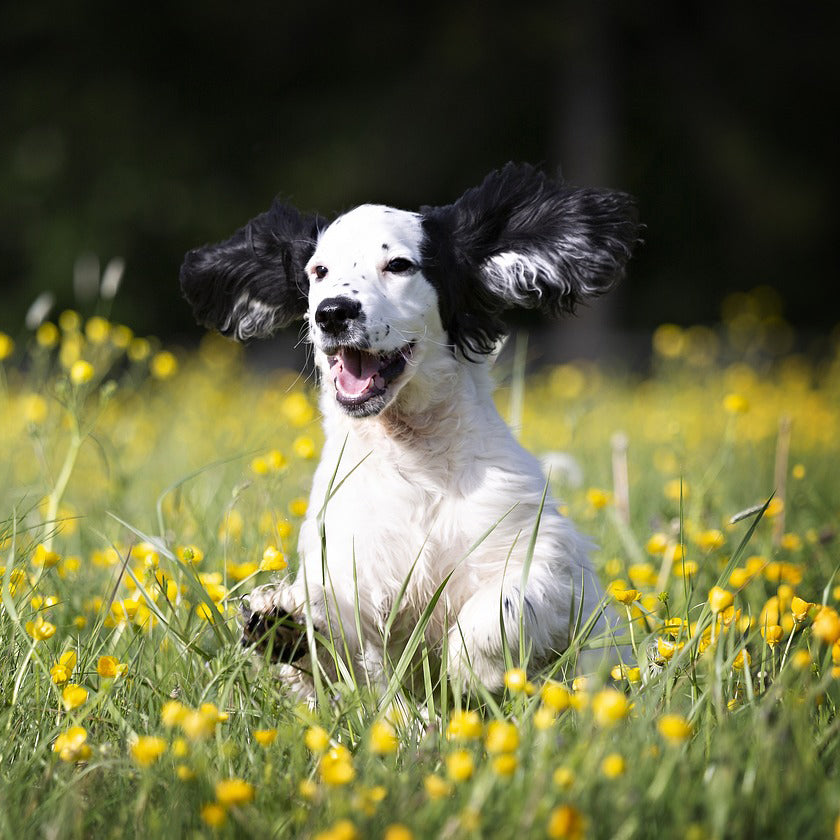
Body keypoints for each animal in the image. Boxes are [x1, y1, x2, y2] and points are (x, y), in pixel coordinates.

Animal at [180, 162, 640, 696]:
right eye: (319, 271)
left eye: (399, 265)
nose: (332, 312)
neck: (412, 457)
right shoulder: (349, 566)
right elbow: (335, 634)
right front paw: (284, 624)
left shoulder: (545, 556)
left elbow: (504, 603)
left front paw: (473, 667)